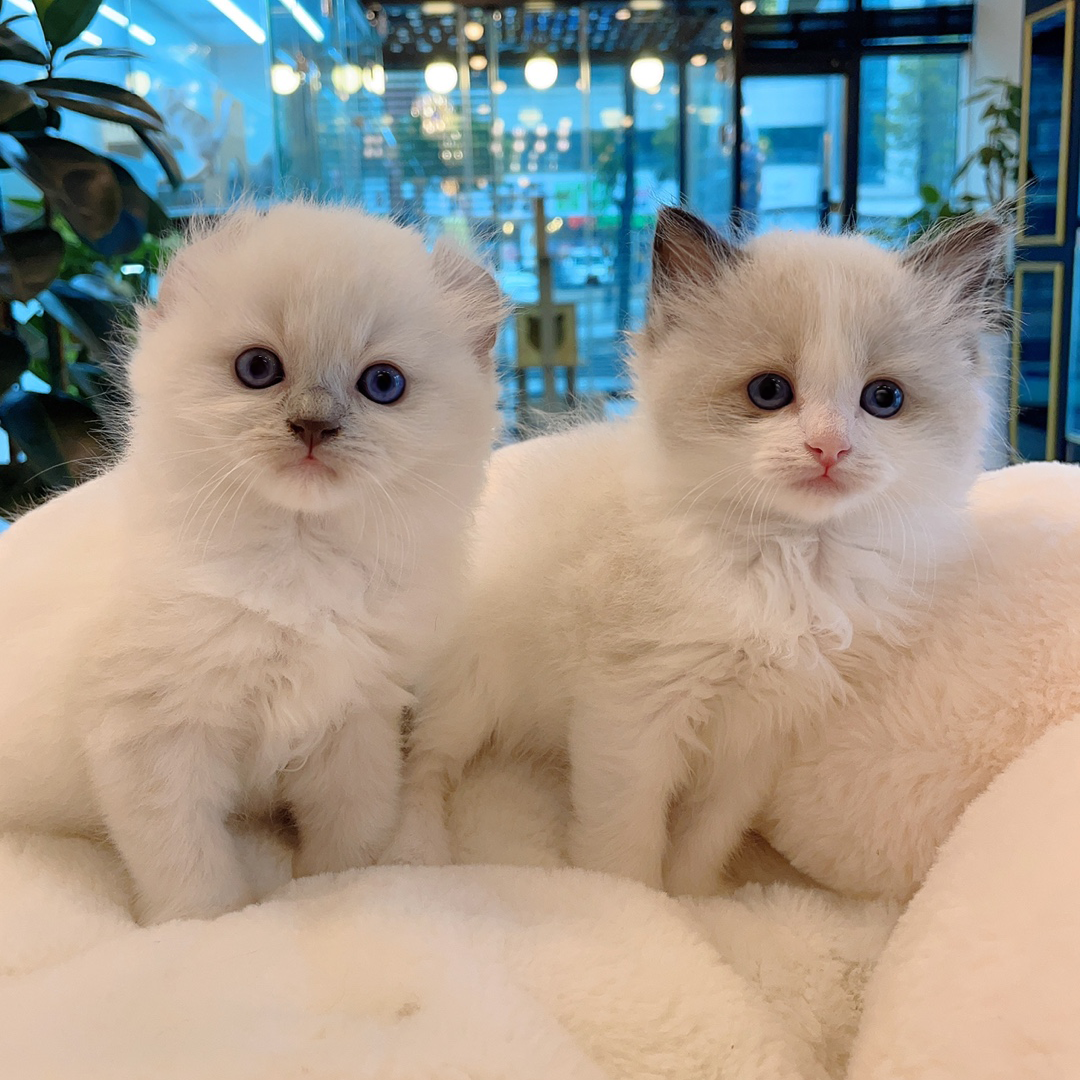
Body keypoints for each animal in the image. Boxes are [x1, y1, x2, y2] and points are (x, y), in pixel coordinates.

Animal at [0, 202, 504, 924]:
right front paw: (207, 924)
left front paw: (341, 886)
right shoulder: (151, 739)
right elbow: (188, 864)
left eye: (383, 385)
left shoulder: (354, 719)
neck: (297, 560)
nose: (314, 428)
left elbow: (353, 826)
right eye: (258, 369)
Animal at [383, 206, 1008, 897]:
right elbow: (624, 840)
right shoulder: (632, 712)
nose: (830, 447)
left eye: (884, 399)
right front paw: (634, 906)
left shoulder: (762, 733)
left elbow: (706, 835)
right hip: (470, 686)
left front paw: (694, 901)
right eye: (769, 391)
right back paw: (417, 851)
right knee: (424, 761)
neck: (788, 560)